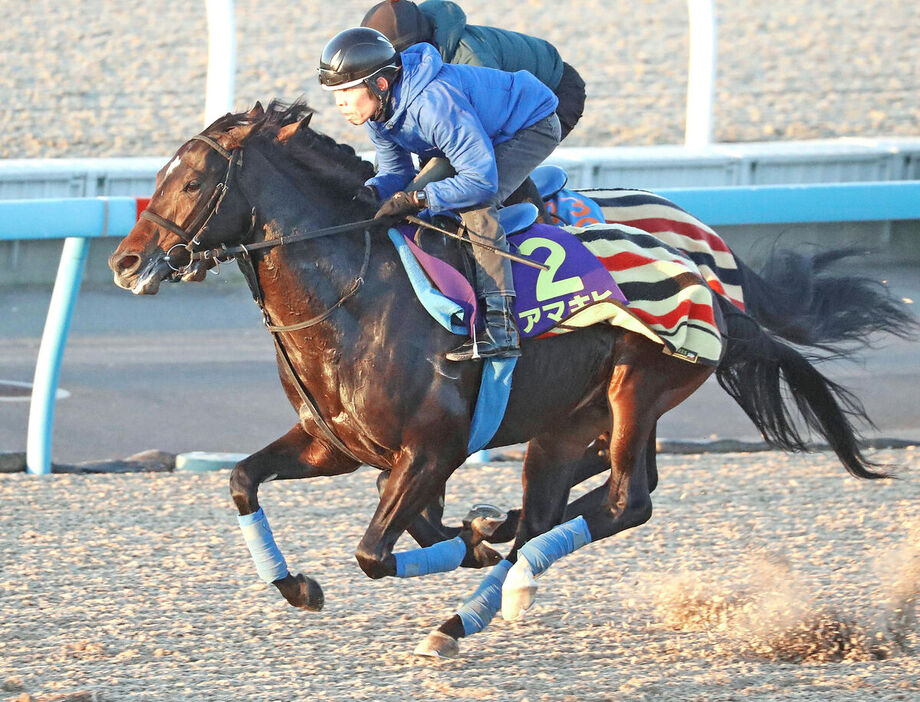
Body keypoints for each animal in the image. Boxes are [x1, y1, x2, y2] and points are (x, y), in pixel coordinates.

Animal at [106, 100, 912, 660]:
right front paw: (301, 585)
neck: (355, 295)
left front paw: (472, 541)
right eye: (158, 180)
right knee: (566, 503)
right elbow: (244, 480)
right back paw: (482, 581)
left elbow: (376, 552)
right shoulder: (334, 444)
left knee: (626, 501)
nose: (124, 262)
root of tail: (710, 276)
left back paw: (497, 588)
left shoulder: (431, 449)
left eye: (193, 180)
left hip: (635, 389)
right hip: (568, 425)